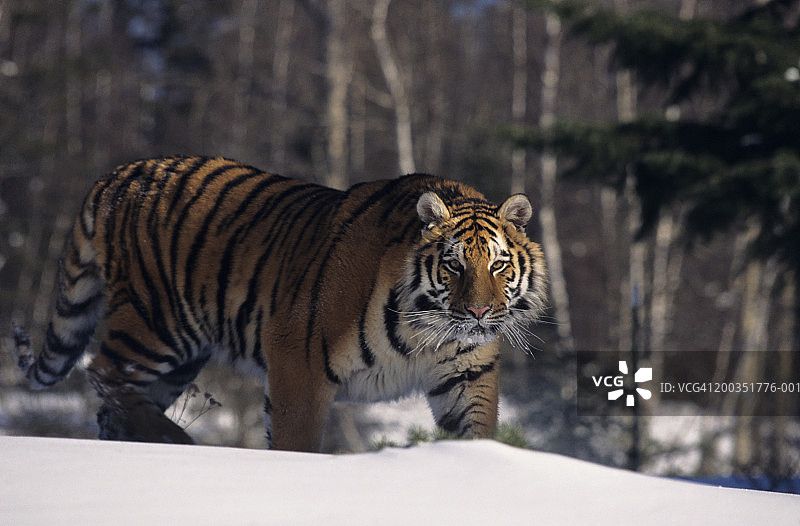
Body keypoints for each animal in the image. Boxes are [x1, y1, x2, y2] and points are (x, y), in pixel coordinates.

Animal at [12, 155, 547, 452]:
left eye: (498, 266)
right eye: (453, 266)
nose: (479, 313)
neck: (428, 333)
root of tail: (118, 174)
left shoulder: (467, 376)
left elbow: (477, 433)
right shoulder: (299, 360)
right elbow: (296, 441)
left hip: (179, 353)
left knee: (114, 401)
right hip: (156, 322)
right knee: (102, 373)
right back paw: (176, 440)